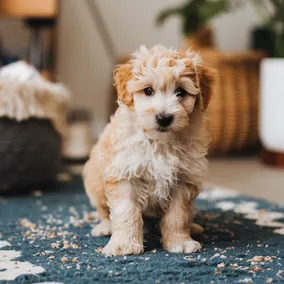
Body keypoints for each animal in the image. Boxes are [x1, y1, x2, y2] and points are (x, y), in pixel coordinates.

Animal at [83, 45, 216, 256]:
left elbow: (178, 215)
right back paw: (105, 227)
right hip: (94, 183)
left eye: (180, 92)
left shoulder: (183, 179)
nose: (164, 118)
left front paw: (179, 241)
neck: (159, 142)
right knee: (103, 210)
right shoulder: (123, 172)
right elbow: (126, 211)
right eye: (148, 91)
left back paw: (193, 226)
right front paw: (124, 244)